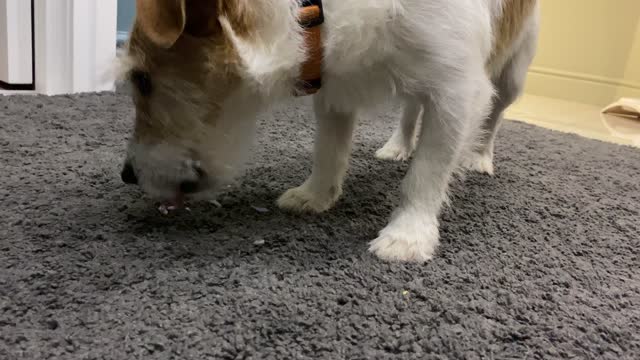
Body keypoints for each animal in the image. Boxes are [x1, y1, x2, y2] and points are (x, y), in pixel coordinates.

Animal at [117, 0, 536, 262]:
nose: (126, 175)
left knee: (495, 115)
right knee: (410, 109)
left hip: (512, 74)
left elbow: (427, 172)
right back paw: (397, 146)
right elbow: (329, 149)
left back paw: (479, 157)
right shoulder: (335, 86)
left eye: (142, 79)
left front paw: (409, 233)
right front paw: (316, 195)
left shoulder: (456, 91)